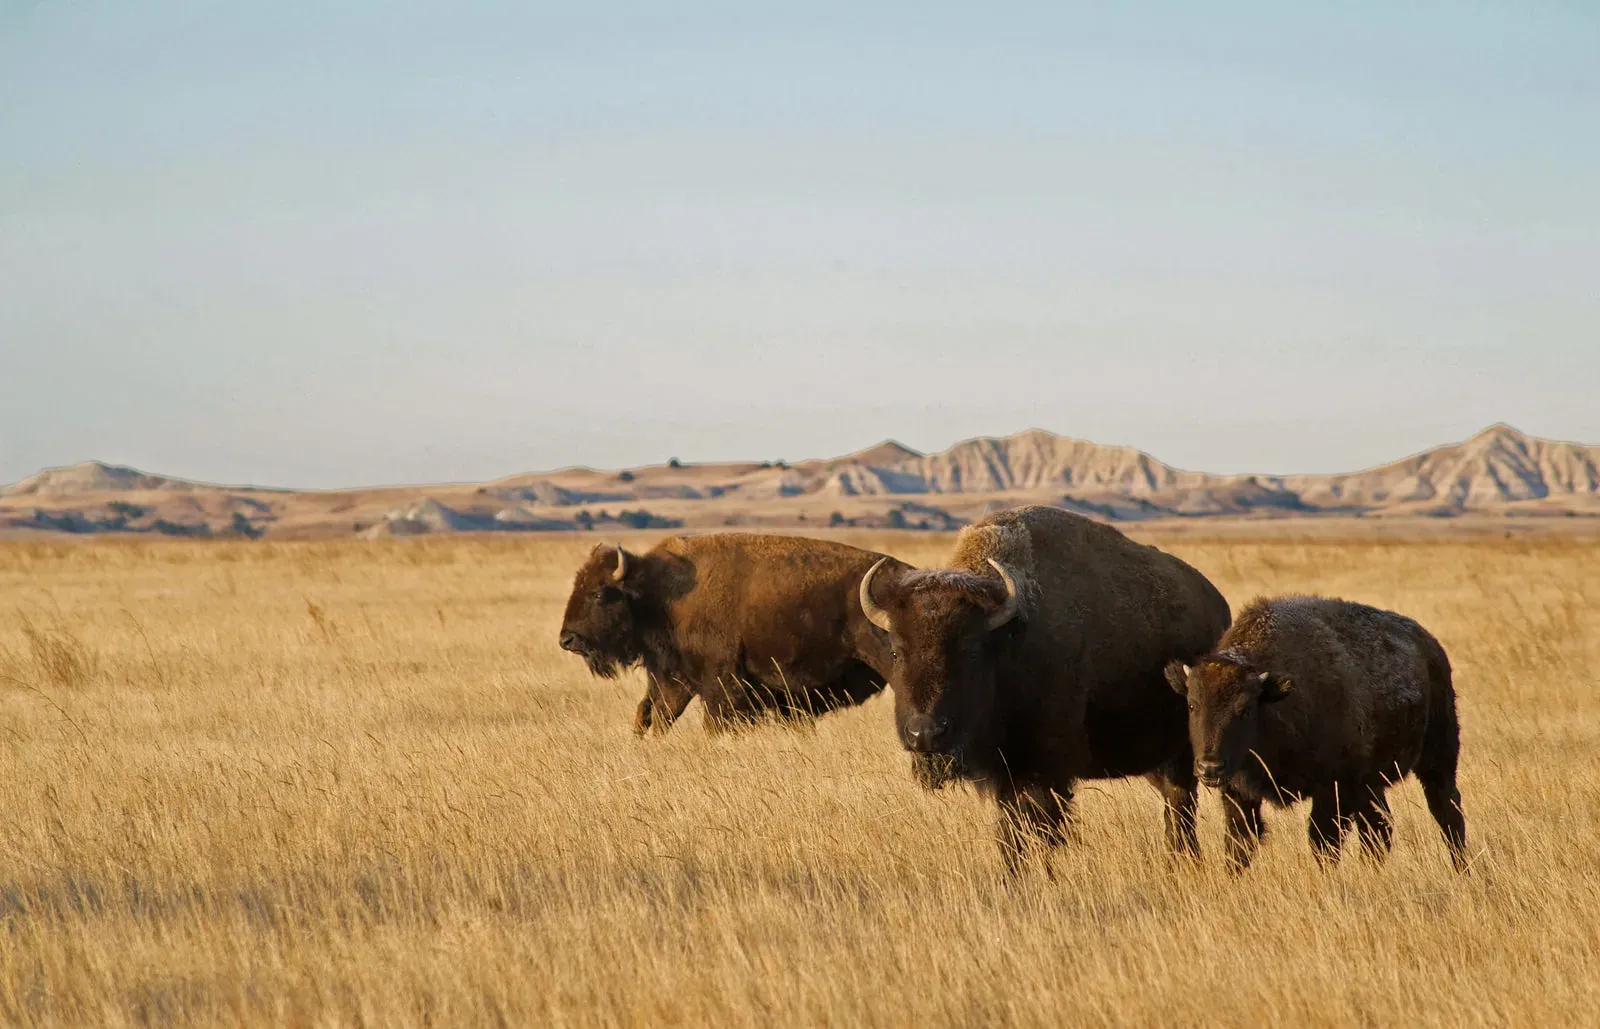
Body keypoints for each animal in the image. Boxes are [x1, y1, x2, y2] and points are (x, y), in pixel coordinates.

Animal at [559, 534, 903, 733]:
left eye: (599, 593)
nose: (567, 640)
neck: (656, 592)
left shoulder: (720, 683)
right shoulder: (675, 678)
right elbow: (656, 715)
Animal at [858, 505, 1231, 870]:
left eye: (971, 650)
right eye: (896, 650)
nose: (924, 734)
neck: (1007, 641)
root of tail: (1218, 607)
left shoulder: (1047, 772)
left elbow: (1043, 828)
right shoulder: (1006, 774)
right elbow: (1010, 832)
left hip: (1187, 752)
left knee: (1182, 802)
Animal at [1166, 596, 1468, 871]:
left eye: (1246, 709)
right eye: (1192, 704)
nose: (1209, 767)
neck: (1275, 697)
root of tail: (1431, 647)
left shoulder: (1334, 788)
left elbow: (1323, 841)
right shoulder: (1238, 793)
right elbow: (1239, 843)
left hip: (1438, 754)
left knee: (1447, 810)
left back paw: (1460, 868)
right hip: (1372, 783)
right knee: (1379, 828)